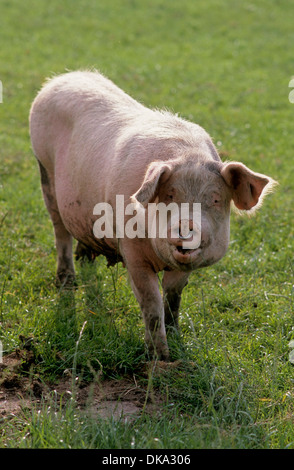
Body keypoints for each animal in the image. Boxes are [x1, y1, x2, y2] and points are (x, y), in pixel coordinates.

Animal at [29, 70, 276, 360]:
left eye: (215, 199)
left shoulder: (183, 268)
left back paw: (85, 258)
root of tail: (64, 77)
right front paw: (160, 357)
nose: (187, 225)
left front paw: (176, 343)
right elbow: (151, 302)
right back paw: (67, 282)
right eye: (169, 195)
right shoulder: (132, 252)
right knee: (59, 230)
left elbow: (172, 298)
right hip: (44, 170)